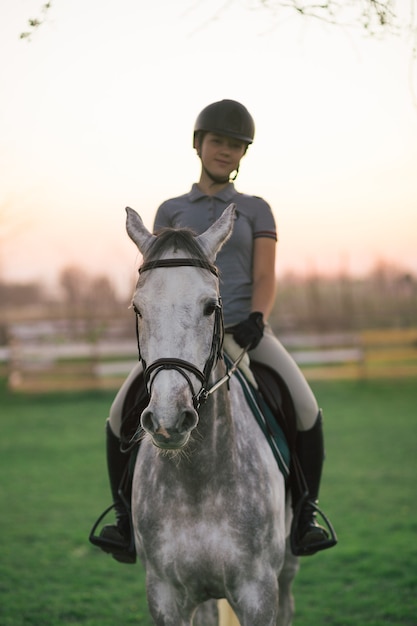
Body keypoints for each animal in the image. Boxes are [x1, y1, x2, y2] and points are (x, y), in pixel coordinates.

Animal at [125, 202, 298, 620]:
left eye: (210, 307)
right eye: (138, 308)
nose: (169, 419)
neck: (197, 481)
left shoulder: (258, 594)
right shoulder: (165, 594)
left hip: (287, 566)